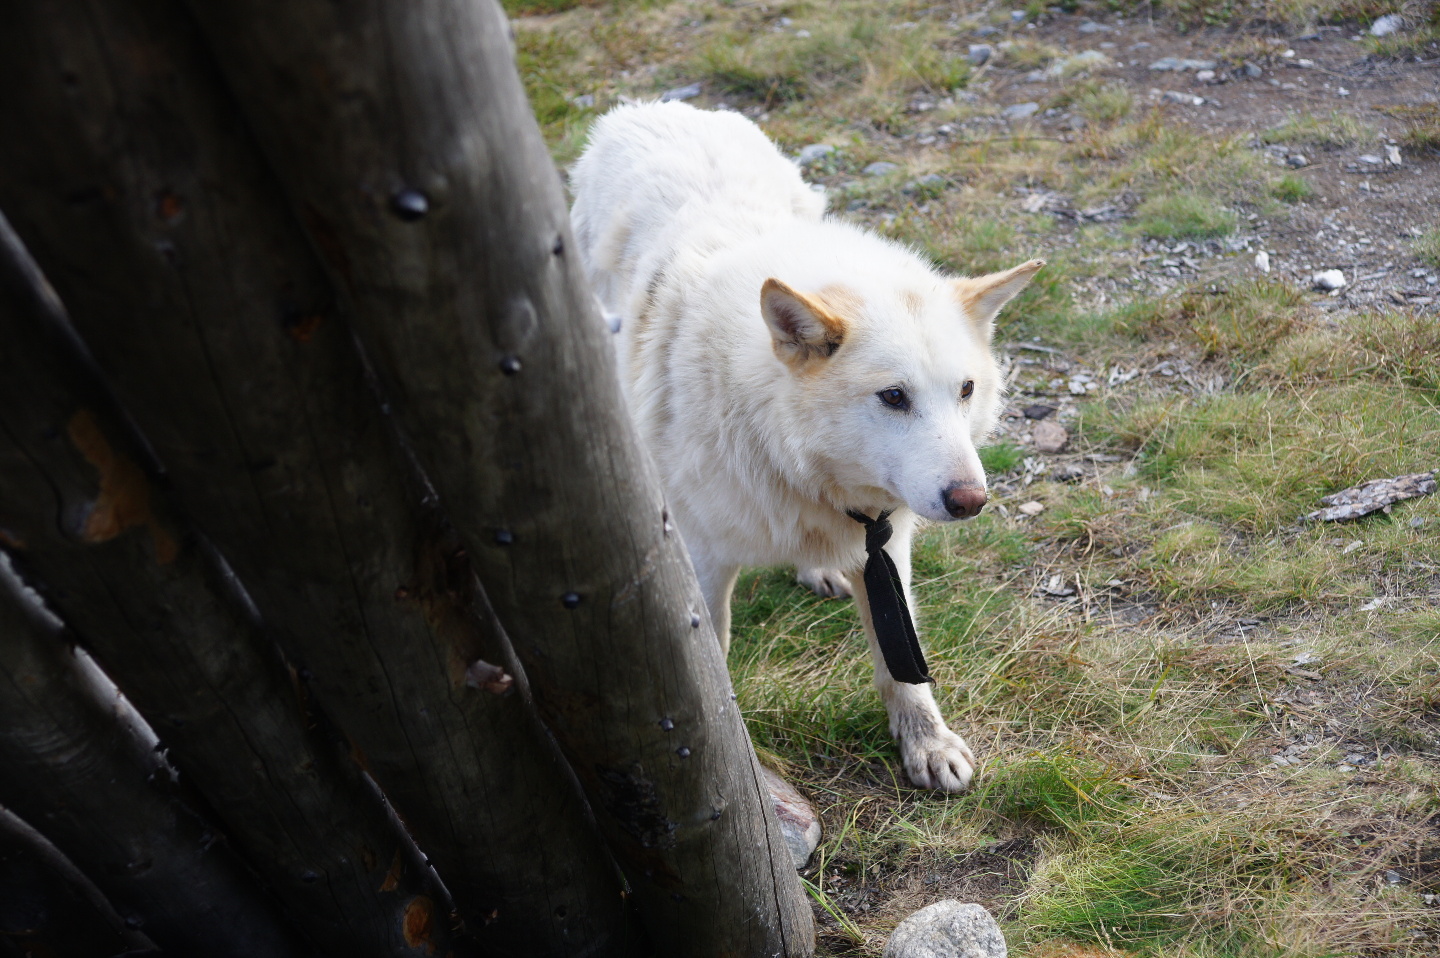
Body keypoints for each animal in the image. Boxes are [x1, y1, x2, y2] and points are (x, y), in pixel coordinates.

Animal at [567, 103, 1042, 789]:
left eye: (965, 390)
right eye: (893, 397)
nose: (971, 501)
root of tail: (646, 107)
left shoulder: (887, 547)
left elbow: (902, 667)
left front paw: (928, 746)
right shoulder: (707, 559)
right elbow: (716, 652)